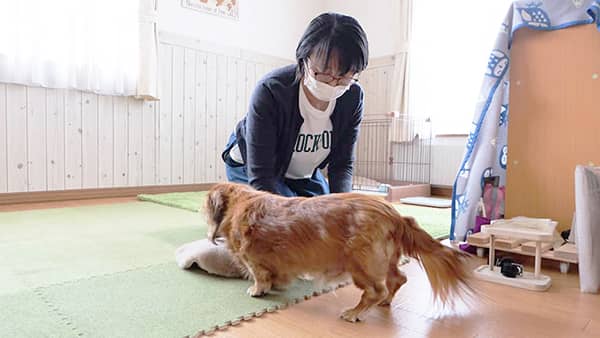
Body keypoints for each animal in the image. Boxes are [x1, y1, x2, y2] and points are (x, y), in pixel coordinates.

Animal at [206, 182, 474, 322]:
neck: (241, 203)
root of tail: (395, 216)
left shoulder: (254, 261)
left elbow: (260, 277)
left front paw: (257, 290)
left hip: (360, 265)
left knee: (376, 290)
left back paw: (354, 312)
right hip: (385, 261)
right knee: (398, 279)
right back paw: (385, 302)